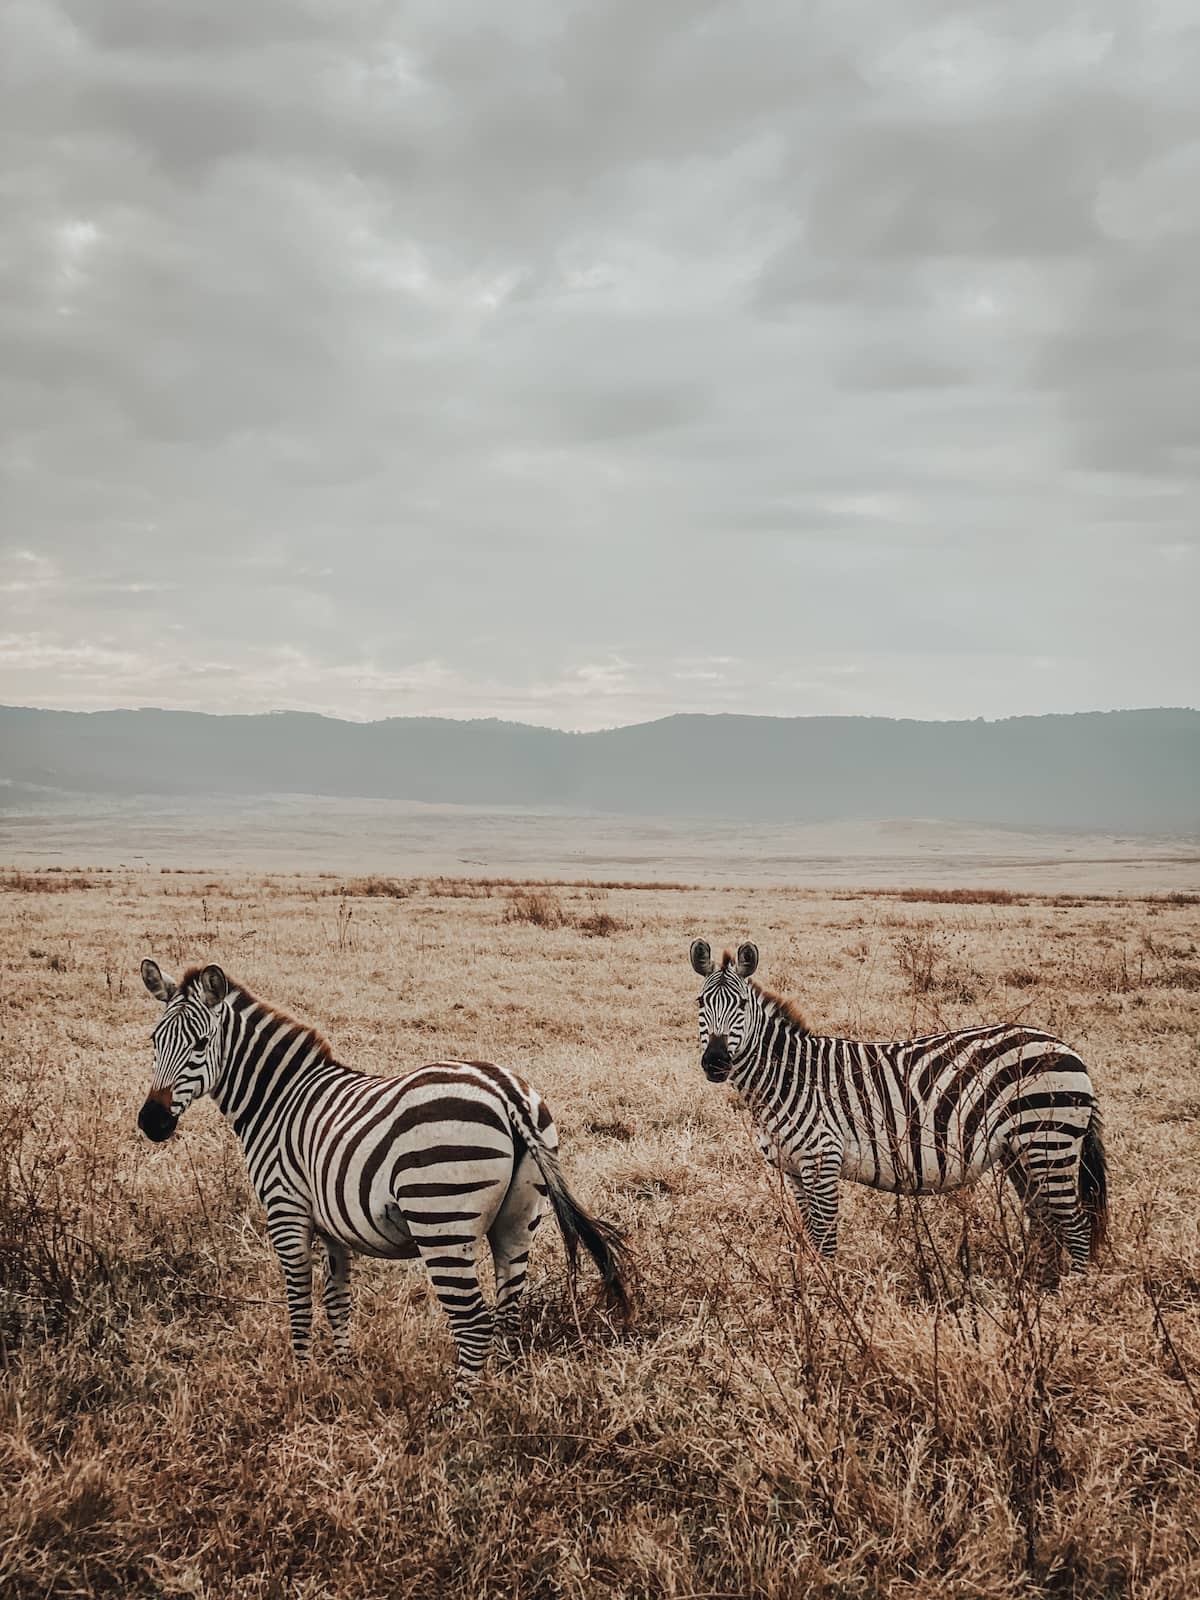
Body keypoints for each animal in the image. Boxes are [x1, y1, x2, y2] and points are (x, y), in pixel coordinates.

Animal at [138, 959, 629, 1409]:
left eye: (201, 1044)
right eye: (155, 1041)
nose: (152, 1122)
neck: (278, 1100)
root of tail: (506, 1092)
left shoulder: (286, 1212)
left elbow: (299, 1301)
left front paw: (301, 1377)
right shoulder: (332, 1225)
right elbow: (338, 1299)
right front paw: (343, 1373)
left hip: (441, 1220)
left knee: (474, 1324)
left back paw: (458, 1416)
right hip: (518, 1220)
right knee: (508, 1314)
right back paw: (502, 1398)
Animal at [689, 940, 1107, 1272]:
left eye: (741, 1006)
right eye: (700, 1003)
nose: (715, 1063)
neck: (787, 1078)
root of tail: (1067, 1048)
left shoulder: (822, 1159)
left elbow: (825, 1238)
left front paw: (827, 1301)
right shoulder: (793, 1168)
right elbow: (810, 1234)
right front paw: (811, 1289)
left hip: (1050, 1143)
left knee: (1075, 1224)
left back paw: (1069, 1297)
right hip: (1020, 1152)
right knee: (1044, 1219)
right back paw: (1038, 1287)